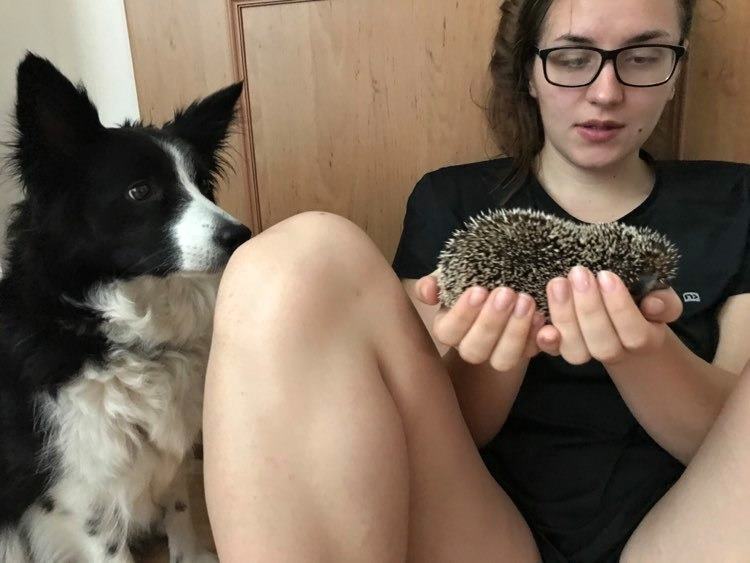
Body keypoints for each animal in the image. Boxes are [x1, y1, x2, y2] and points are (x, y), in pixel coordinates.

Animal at [0, 53, 251, 562]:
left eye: (201, 184)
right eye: (140, 191)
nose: (241, 236)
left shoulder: (165, 444)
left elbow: (179, 507)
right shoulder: (78, 495)